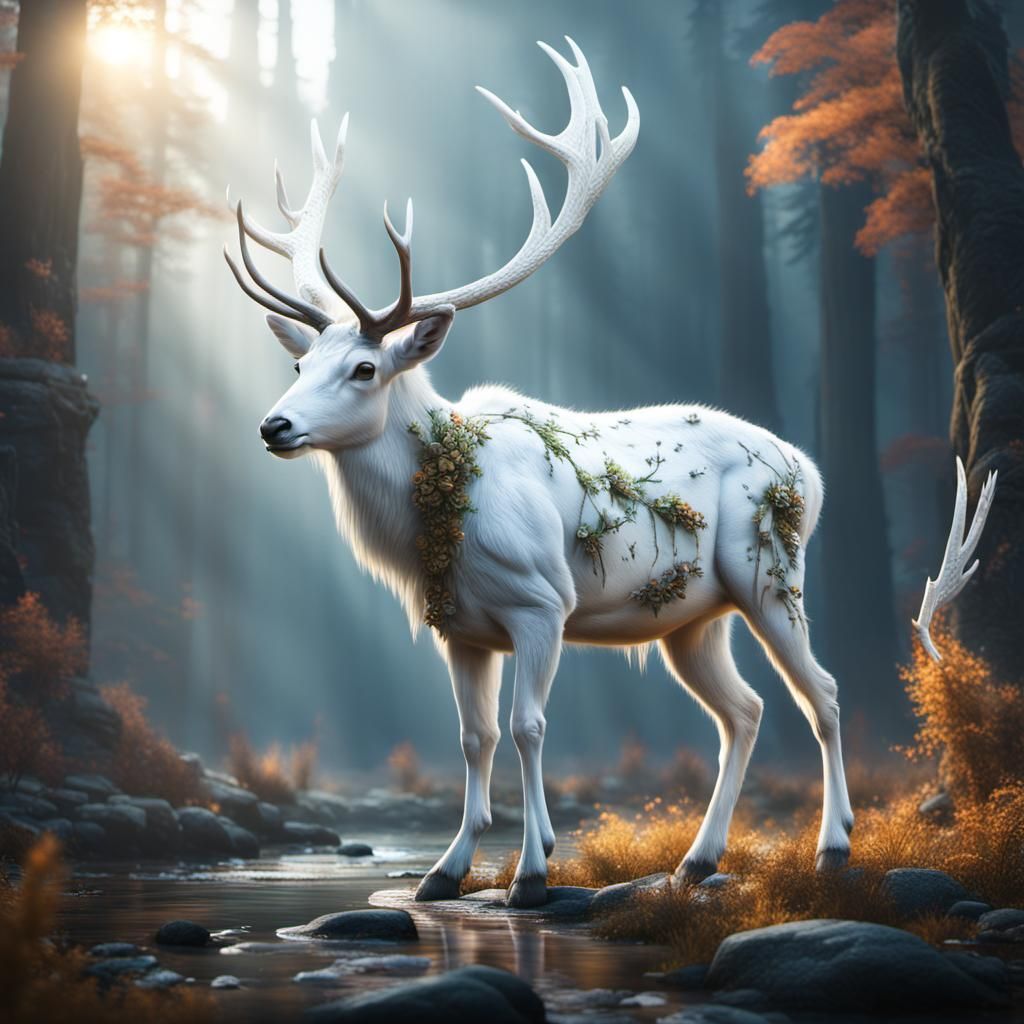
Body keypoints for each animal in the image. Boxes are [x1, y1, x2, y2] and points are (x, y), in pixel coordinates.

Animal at [225, 37, 859, 908]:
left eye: (362, 368)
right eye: (298, 363)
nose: (274, 425)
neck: (439, 517)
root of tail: (812, 472)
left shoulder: (541, 605)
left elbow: (528, 731)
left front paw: (530, 875)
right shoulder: (460, 629)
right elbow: (474, 736)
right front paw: (443, 872)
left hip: (772, 572)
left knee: (820, 692)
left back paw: (833, 847)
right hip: (694, 620)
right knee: (745, 709)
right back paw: (697, 860)